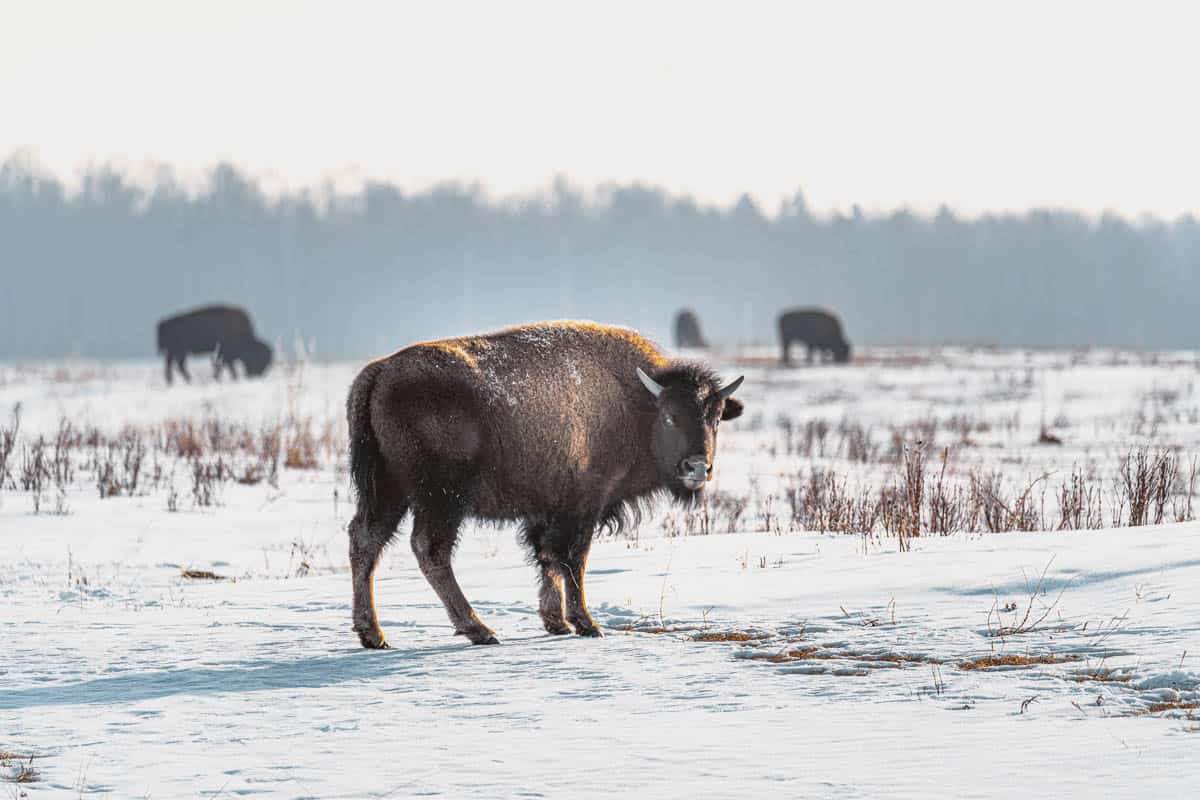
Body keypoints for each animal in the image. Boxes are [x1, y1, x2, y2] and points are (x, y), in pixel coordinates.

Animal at [343, 321, 744, 652]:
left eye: (716, 418)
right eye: (670, 417)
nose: (698, 467)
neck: (634, 403)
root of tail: (380, 371)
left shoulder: (546, 510)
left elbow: (547, 558)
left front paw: (556, 622)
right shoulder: (585, 505)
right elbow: (573, 559)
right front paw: (586, 624)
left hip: (388, 491)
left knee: (366, 541)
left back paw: (373, 635)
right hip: (440, 498)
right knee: (430, 549)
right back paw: (479, 630)